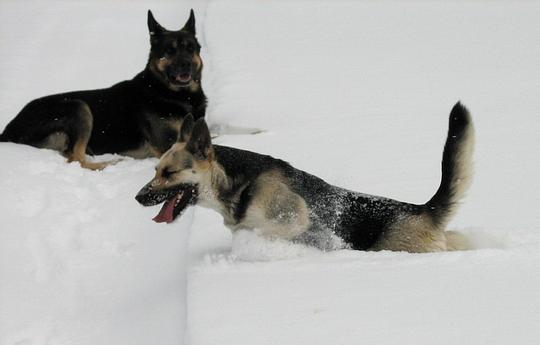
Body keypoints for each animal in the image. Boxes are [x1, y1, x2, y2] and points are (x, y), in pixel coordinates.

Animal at [0, 8, 206, 169]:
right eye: (170, 51)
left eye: (190, 48)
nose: (186, 65)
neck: (167, 91)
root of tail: (8, 131)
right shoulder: (167, 142)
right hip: (78, 107)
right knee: (76, 159)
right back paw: (110, 163)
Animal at [137, 103, 474, 253]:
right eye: (155, 171)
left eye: (169, 173)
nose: (139, 197)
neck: (239, 184)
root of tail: (424, 209)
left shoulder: (291, 220)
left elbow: (262, 231)